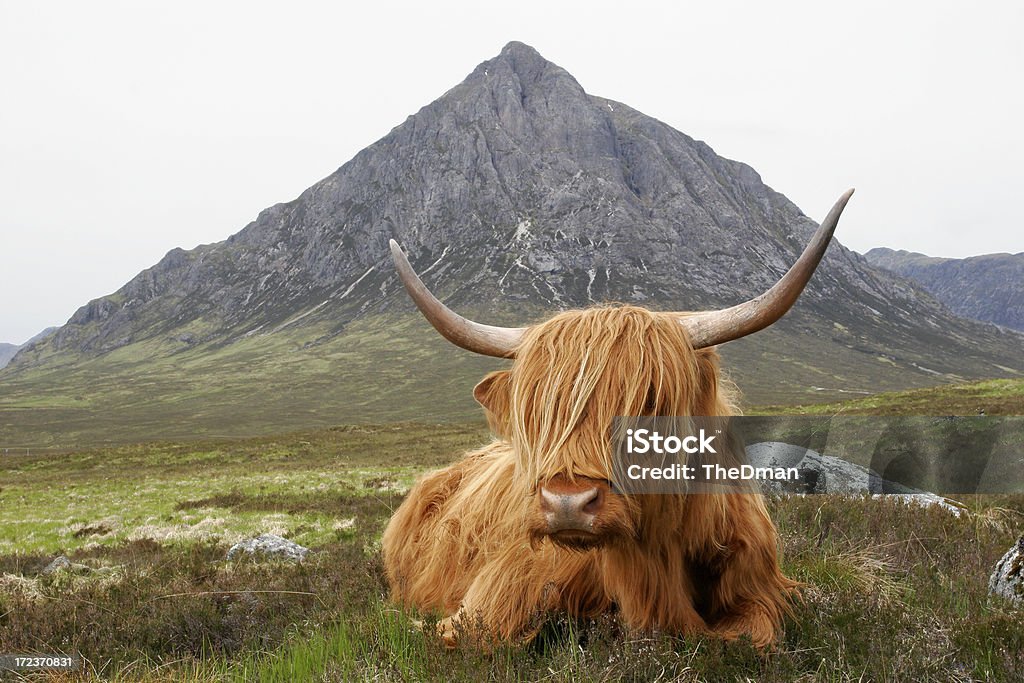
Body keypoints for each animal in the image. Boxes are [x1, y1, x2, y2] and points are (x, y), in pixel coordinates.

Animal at [380, 189, 851, 651]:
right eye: (537, 410)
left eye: (650, 400)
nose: (566, 504)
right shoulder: (498, 590)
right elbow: (480, 634)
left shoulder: (762, 587)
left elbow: (752, 636)